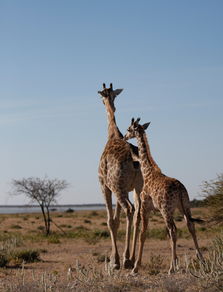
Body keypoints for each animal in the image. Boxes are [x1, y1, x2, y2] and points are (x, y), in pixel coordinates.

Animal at [123, 118, 204, 274]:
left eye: (129, 129)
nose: (124, 137)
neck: (147, 172)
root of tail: (179, 189)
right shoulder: (157, 210)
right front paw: (176, 263)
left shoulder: (145, 208)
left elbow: (143, 234)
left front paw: (135, 267)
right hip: (184, 206)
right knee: (190, 226)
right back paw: (201, 260)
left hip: (167, 210)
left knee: (174, 230)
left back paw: (171, 268)